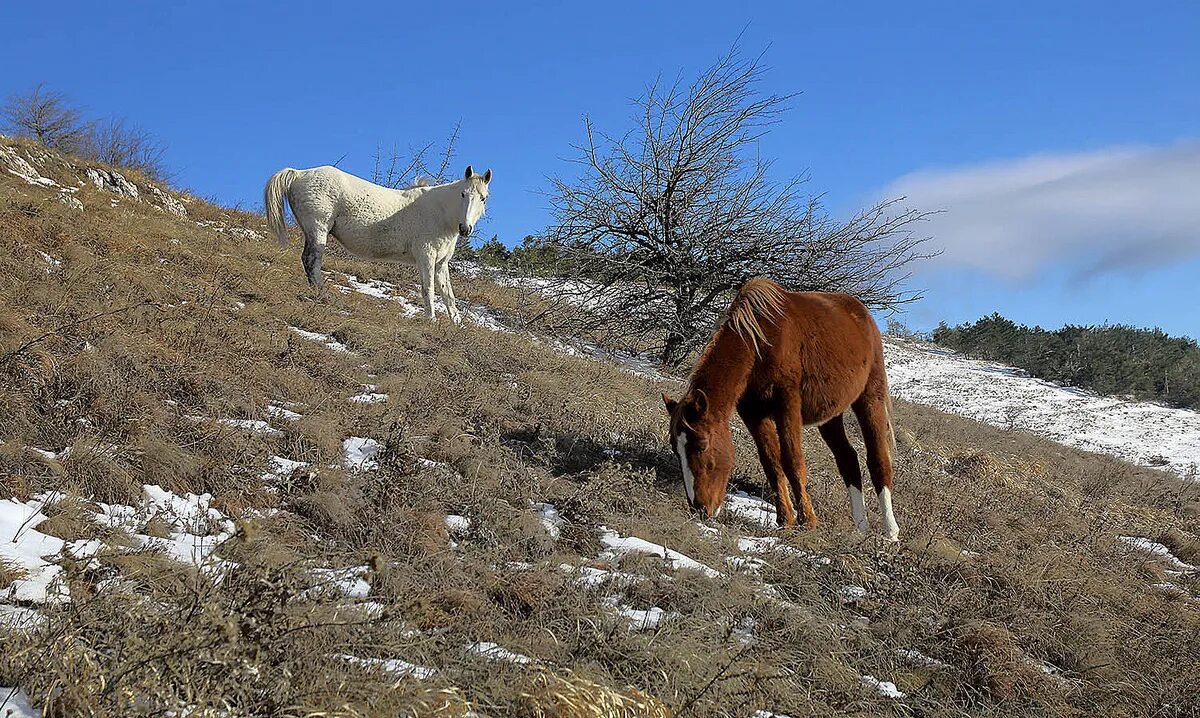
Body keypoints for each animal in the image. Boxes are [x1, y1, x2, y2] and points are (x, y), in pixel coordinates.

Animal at [261, 165, 487, 324]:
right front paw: (430, 320)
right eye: (463, 194)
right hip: (318, 231)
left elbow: (448, 295)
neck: (440, 212)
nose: (465, 228)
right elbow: (428, 289)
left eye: (483, 198)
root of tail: (299, 174)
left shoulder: (440, 263)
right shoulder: (426, 257)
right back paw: (323, 295)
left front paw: (457, 324)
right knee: (311, 261)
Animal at [667, 278, 902, 542]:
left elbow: (792, 460)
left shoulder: (787, 401)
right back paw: (861, 528)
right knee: (848, 460)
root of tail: (862, 314)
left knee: (878, 460)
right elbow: (772, 462)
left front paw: (808, 521)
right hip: (830, 416)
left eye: (701, 446)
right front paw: (785, 520)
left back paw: (890, 531)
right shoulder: (753, 412)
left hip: (870, 397)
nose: (700, 508)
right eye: (676, 450)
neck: (760, 342)